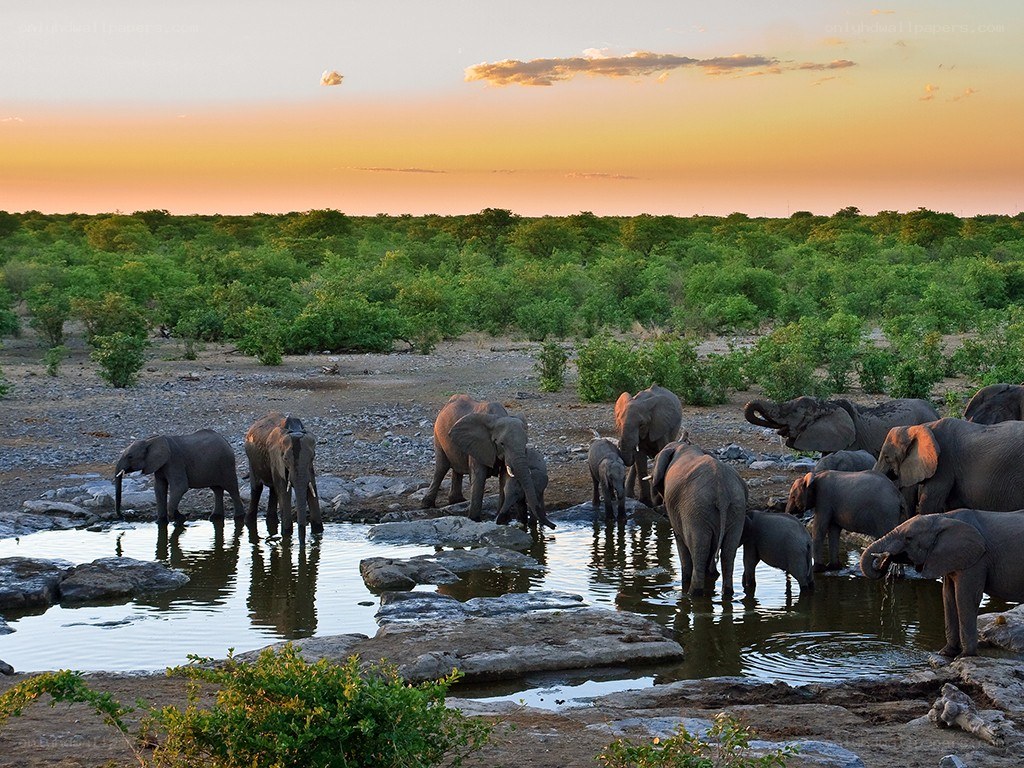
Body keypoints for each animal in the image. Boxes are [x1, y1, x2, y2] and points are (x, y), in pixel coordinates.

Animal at [114, 429, 243, 525]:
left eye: (130, 457)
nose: (122, 517)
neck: (150, 441)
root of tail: (226, 441)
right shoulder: (160, 465)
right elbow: (159, 488)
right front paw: (160, 523)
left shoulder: (174, 461)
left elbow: (180, 487)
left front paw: (181, 519)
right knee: (217, 489)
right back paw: (215, 517)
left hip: (226, 464)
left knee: (231, 488)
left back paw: (238, 517)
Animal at [244, 412, 323, 542]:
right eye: (285, 459)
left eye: (313, 456)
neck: (294, 430)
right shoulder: (275, 457)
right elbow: (284, 490)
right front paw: (286, 534)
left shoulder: (309, 467)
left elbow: (311, 487)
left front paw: (318, 532)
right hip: (252, 459)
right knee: (257, 488)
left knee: (273, 490)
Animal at [422, 394, 554, 529]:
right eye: (502, 443)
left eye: (525, 442)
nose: (553, 526)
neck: (498, 418)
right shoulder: (478, 444)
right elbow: (479, 477)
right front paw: (474, 520)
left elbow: (503, 479)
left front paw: (503, 521)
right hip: (438, 433)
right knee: (441, 467)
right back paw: (426, 504)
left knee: (456, 468)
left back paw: (457, 501)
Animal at [651, 440, 747, 597]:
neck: (682, 446)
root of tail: (721, 492)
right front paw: (712, 575)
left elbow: (680, 541)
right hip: (737, 509)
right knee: (728, 553)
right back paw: (727, 593)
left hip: (696, 512)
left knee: (699, 552)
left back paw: (692, 594)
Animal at [861, 508, 1024, 657]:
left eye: (908, 538)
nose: (884, 559)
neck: (941, 517)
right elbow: (948, 596)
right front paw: (945, 653)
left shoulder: (977, 560)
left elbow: (965, 598)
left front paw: (964, 656)